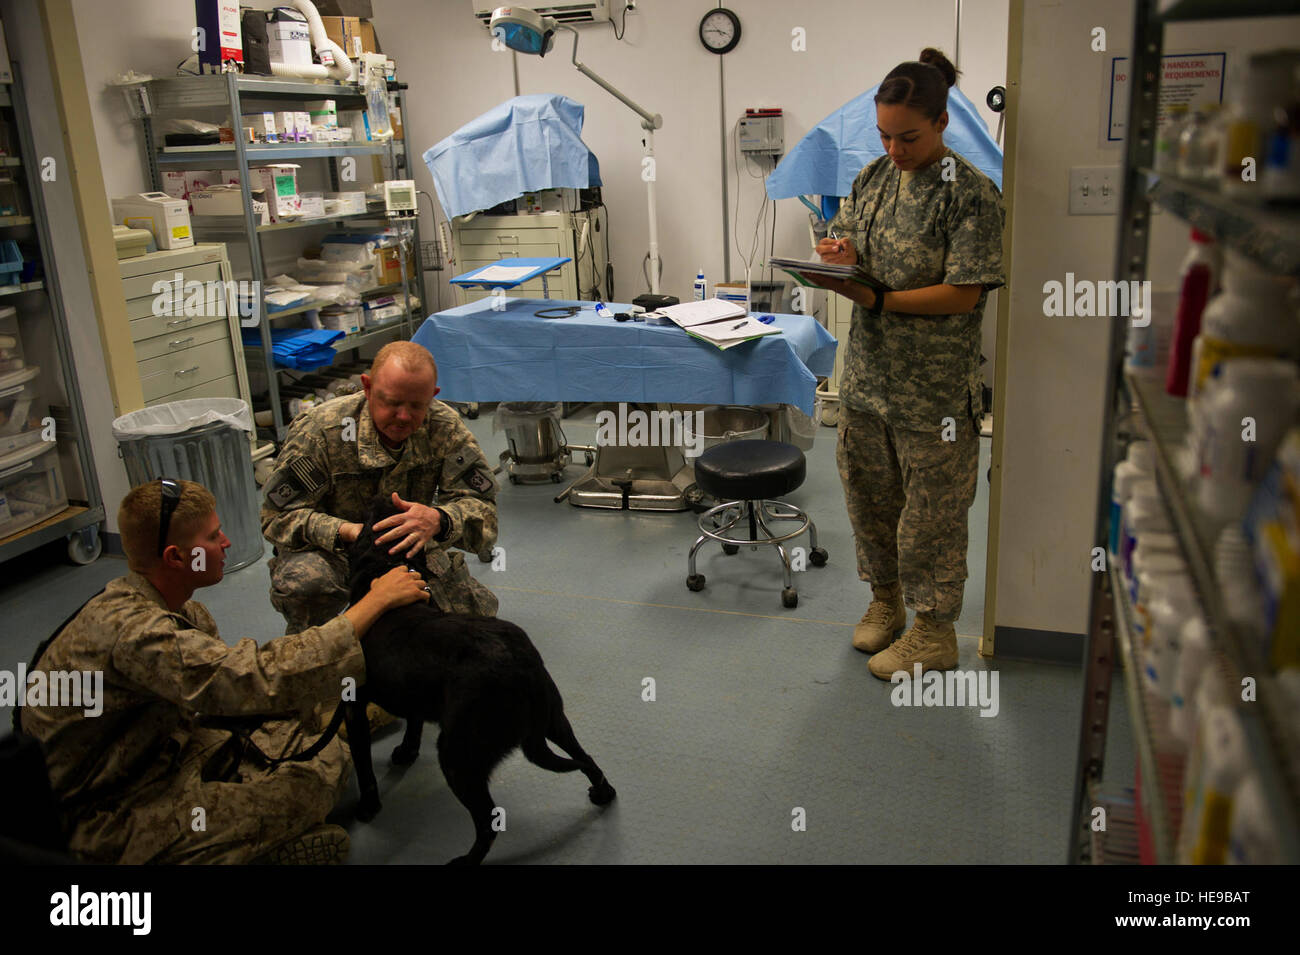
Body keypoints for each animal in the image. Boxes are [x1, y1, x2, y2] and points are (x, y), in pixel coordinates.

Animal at [340, 501, 613, 867]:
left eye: (370, 521)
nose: (384, 499)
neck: (383, 570)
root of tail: (520, 668)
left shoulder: (352, 706)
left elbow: (364, 767)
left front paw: (368, 806)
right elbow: (413, 722)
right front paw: (407, 751)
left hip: (458, 754)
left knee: (488, 821)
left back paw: (465, 861)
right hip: (556, 722)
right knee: (587, 759)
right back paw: (603, 792)